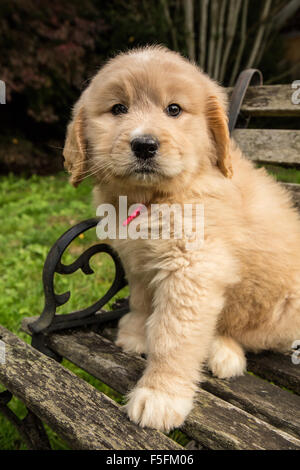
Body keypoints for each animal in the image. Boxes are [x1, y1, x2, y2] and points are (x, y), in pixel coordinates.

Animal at [63, 46, 300, 432]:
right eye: (118, 109)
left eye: (174, 110)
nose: (144, 145)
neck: (151, 199)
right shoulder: (137, 260)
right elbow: (142, 300)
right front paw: (136, 333)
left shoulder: (193, 267)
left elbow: (173, 336)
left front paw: (160, 396)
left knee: (247, 333)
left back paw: (222, 352)